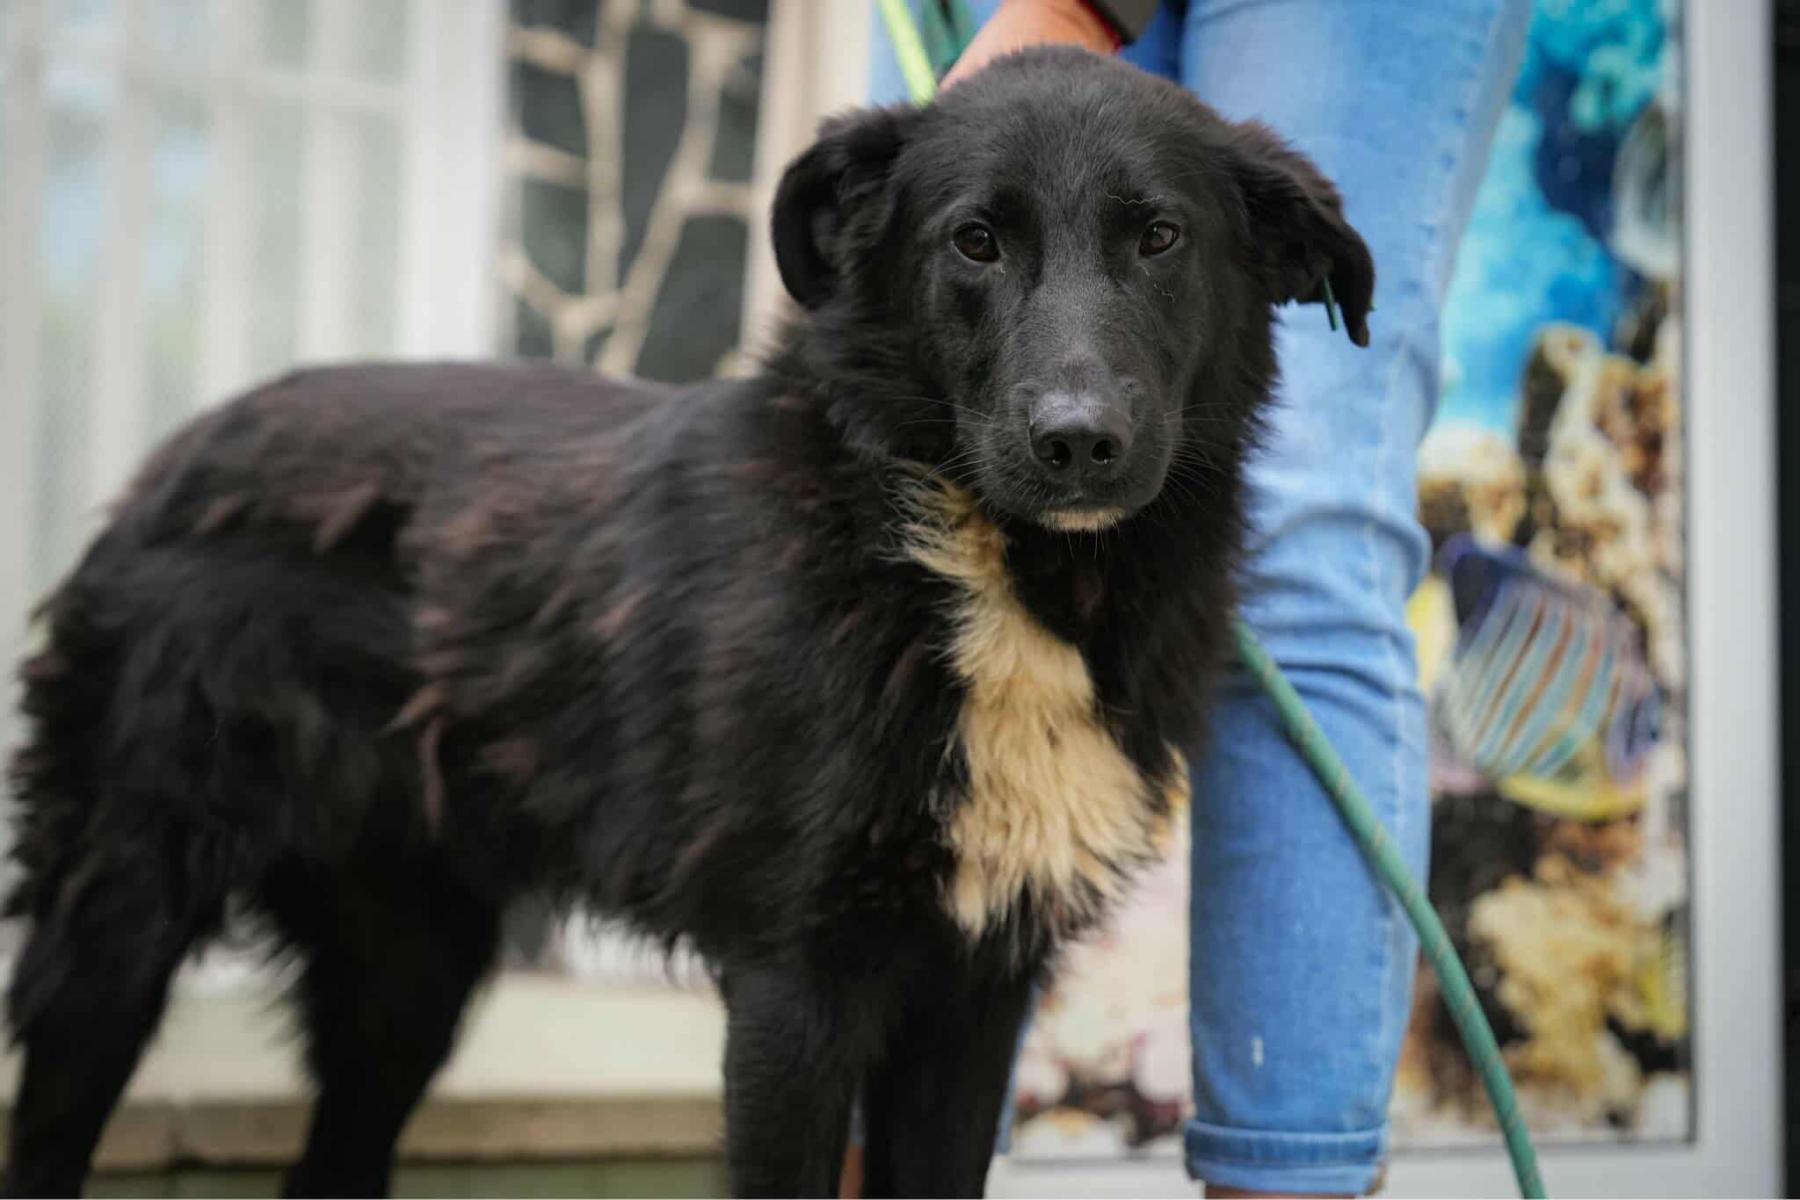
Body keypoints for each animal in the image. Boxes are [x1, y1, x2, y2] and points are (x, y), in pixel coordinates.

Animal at [4, 47, 1371, 1198]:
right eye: (976, 241)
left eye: (1160, 237)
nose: (1079, 442)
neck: (982, 570)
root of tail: (173, 456)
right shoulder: (792, 987)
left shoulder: (972, 996)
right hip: (115, 924)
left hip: (407, 970)